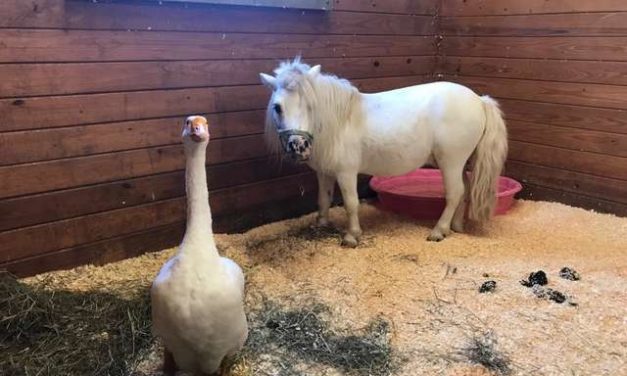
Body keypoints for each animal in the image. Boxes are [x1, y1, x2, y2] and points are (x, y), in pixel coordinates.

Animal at [260, 58, 510, 247]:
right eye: (277, 107)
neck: (339, 122)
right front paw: (321, 224)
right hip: (461, 162)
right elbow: (323, 199)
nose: (298, 146)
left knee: (455, 192)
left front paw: (352, 236)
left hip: (451, 161)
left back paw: (439, 230)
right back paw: (455, 227)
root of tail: (479, 100)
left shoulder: (346, 173)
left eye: (311, 106)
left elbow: (351, 203)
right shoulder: (324, 172)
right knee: (465, 190)